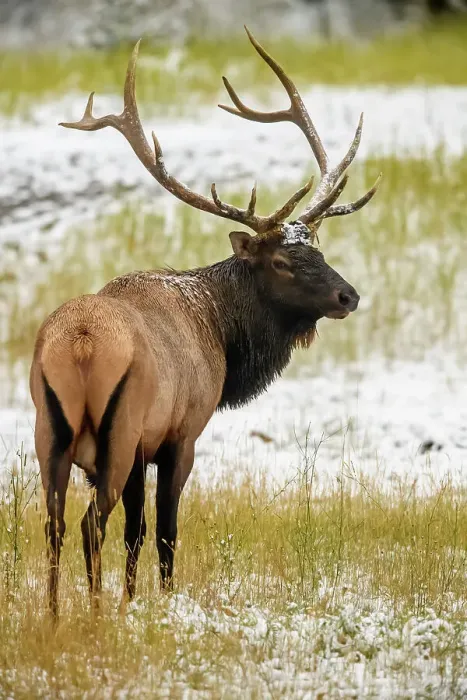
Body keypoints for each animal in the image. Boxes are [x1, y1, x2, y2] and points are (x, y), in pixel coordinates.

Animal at [30, 27, 381, 619]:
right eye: (281, 261)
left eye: (317, 247)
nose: (348, 295)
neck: (221, 334)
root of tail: (79, 345)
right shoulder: (180, 433)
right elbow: (163, 532)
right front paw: (158, 604)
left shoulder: (144, 448)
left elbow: (136, 531)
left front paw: (132, 600)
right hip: (117, 433)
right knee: (88, 525)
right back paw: (93, 614)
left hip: (48, 432)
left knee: (54, 526)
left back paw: (57, 618)